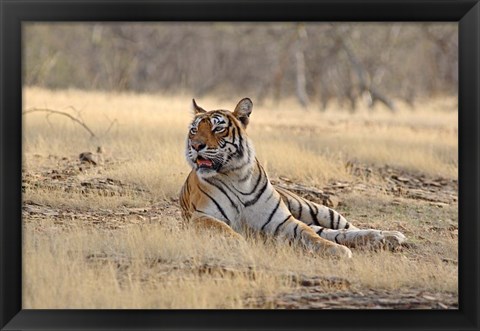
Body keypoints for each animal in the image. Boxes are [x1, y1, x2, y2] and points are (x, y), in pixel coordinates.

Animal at [178, 97, 406, 258]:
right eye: (194, 130)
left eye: (218, 128)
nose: (196, 146)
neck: (236, 176)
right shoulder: (202, 217)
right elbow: (225, 230)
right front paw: (240, 244)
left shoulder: (283, 221)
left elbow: (311, 236)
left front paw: (337, 251)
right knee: (333, 232)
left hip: (315, 209)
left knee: (346, 228)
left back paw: (389, 236)